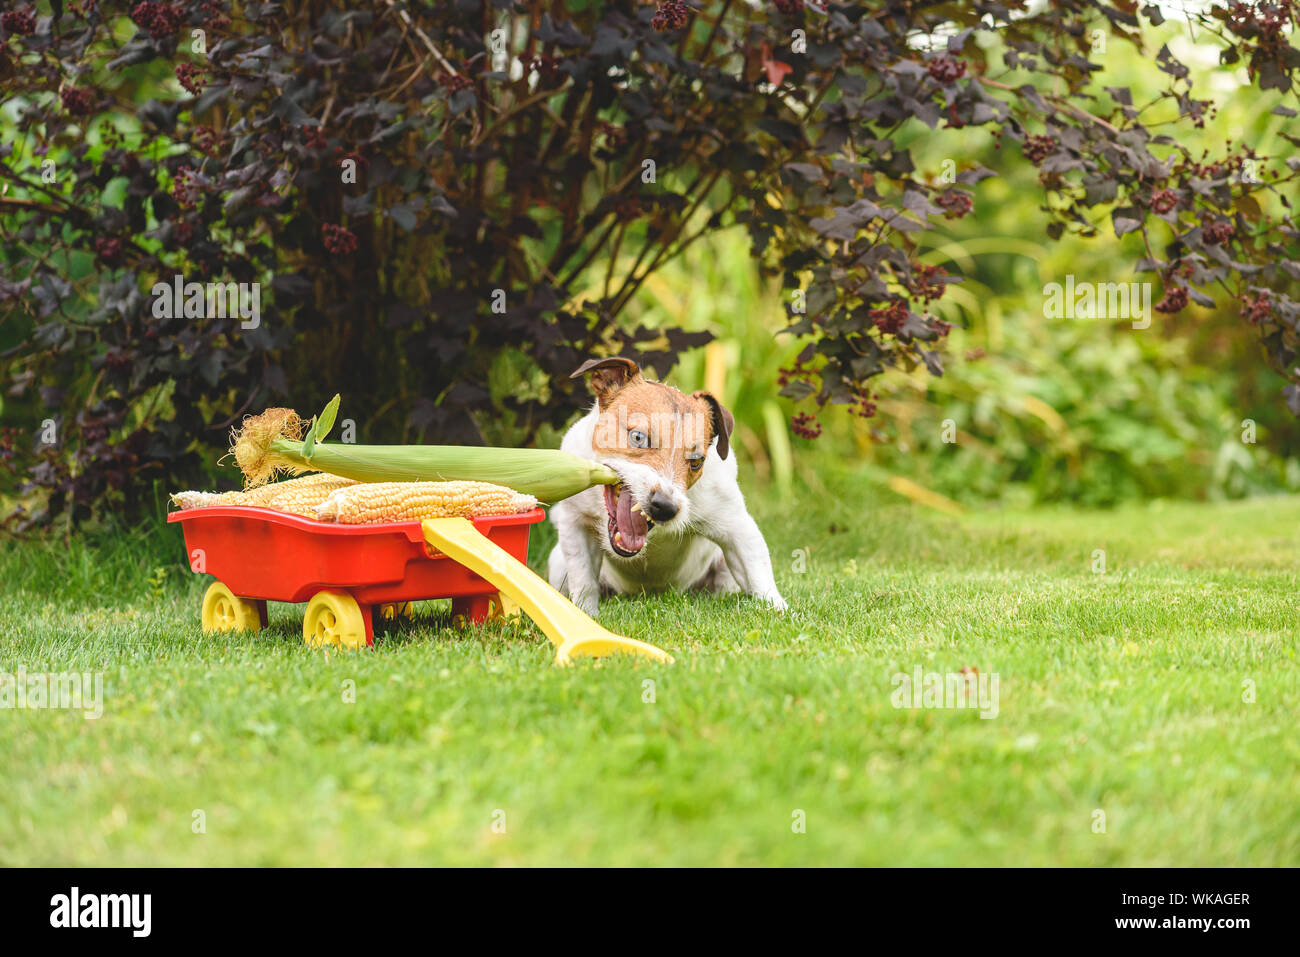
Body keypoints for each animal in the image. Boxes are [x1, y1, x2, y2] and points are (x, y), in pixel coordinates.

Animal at [546, 356, 785, 616]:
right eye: (638, 437)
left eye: (696, 461)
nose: (665, 506)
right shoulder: (575, 525)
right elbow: (584, 583)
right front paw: (585, 615)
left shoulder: (737, 528)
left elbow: (759, 574)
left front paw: (780, 610)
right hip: (558, 565)